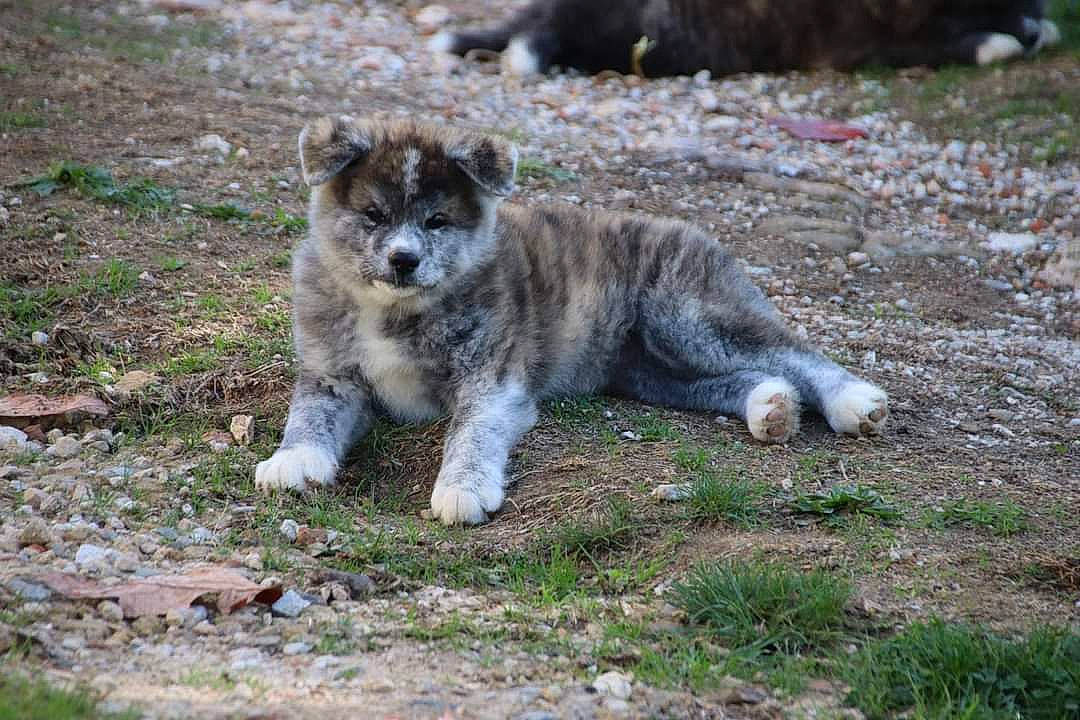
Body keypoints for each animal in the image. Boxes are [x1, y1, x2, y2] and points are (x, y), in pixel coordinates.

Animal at [255, 116, 889, 525]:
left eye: (437, 221)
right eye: (373, 215)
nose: (403, 260)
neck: (395, 310)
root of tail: (695, 232)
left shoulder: (492, 381)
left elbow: (471, 433)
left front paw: (462, 488)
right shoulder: (332, 375)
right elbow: (308, 415)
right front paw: (294, 460)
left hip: (686, 320)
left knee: (791, 351)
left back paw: (853, 401)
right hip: (648, 370)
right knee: (735, 378)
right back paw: (771, 408)